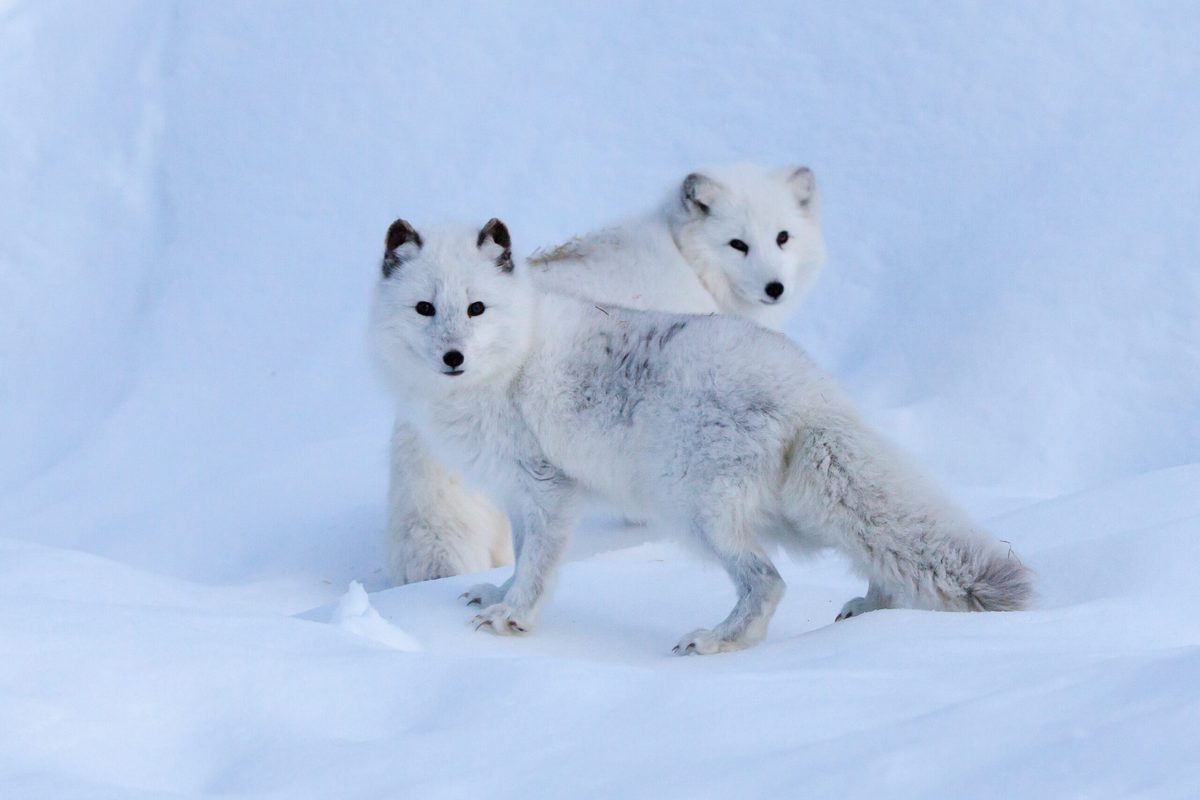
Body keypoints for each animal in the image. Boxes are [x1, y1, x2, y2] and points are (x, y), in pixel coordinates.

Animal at [370, 219, 1033, 654]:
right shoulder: (515, 494)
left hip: (694, 510)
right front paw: (498, 596)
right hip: (788, 509)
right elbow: (522, 557)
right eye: (425, 308)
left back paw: (720, 640)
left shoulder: (549, 488)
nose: (453, 357)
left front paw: (515, 618)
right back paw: (871, 610)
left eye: (476, 308)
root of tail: (809, 389)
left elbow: (540, 565)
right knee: (872, 548)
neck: (510, 362)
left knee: (768, 581)